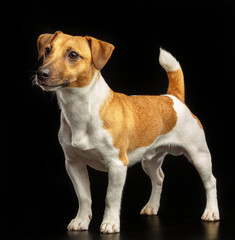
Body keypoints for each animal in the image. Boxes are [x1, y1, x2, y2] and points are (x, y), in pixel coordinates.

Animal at [34, 31, 219, 233]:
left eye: (73, 55)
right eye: (47, 50)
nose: (41, 73)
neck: (81, 109)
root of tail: (172, 98)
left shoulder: (117, 165)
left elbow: (111, 198)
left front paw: (110, 223)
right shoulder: (74, 164)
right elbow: (83, 197)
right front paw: (81, 221)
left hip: (199, 156)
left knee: (210, 182)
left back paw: (211, 212)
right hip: (150, 160)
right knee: (159, 178)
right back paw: (152, 206)